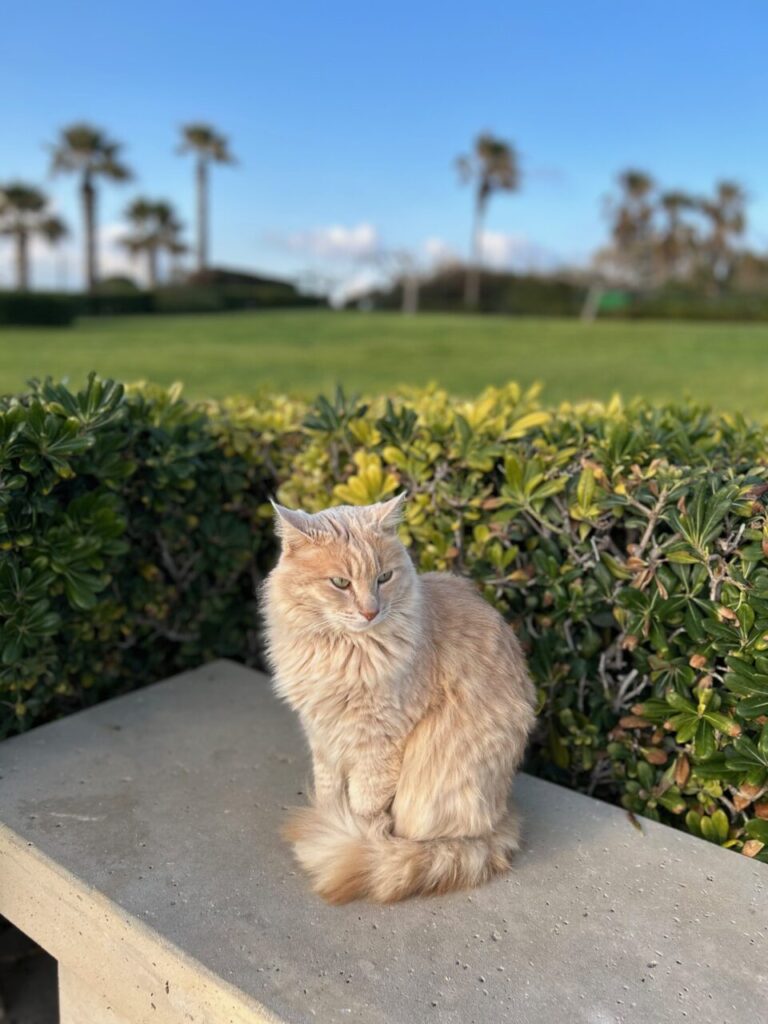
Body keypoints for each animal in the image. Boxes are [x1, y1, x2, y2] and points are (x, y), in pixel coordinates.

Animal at [262, 494, 536, 904]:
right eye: (340, 583)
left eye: (384, 578)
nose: (370, 611)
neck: (340, 650)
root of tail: (503, 815)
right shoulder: (323, 736)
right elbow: (329, 791)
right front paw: (326, 821)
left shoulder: (380, 740)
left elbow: (366, 805)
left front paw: (354, 838)